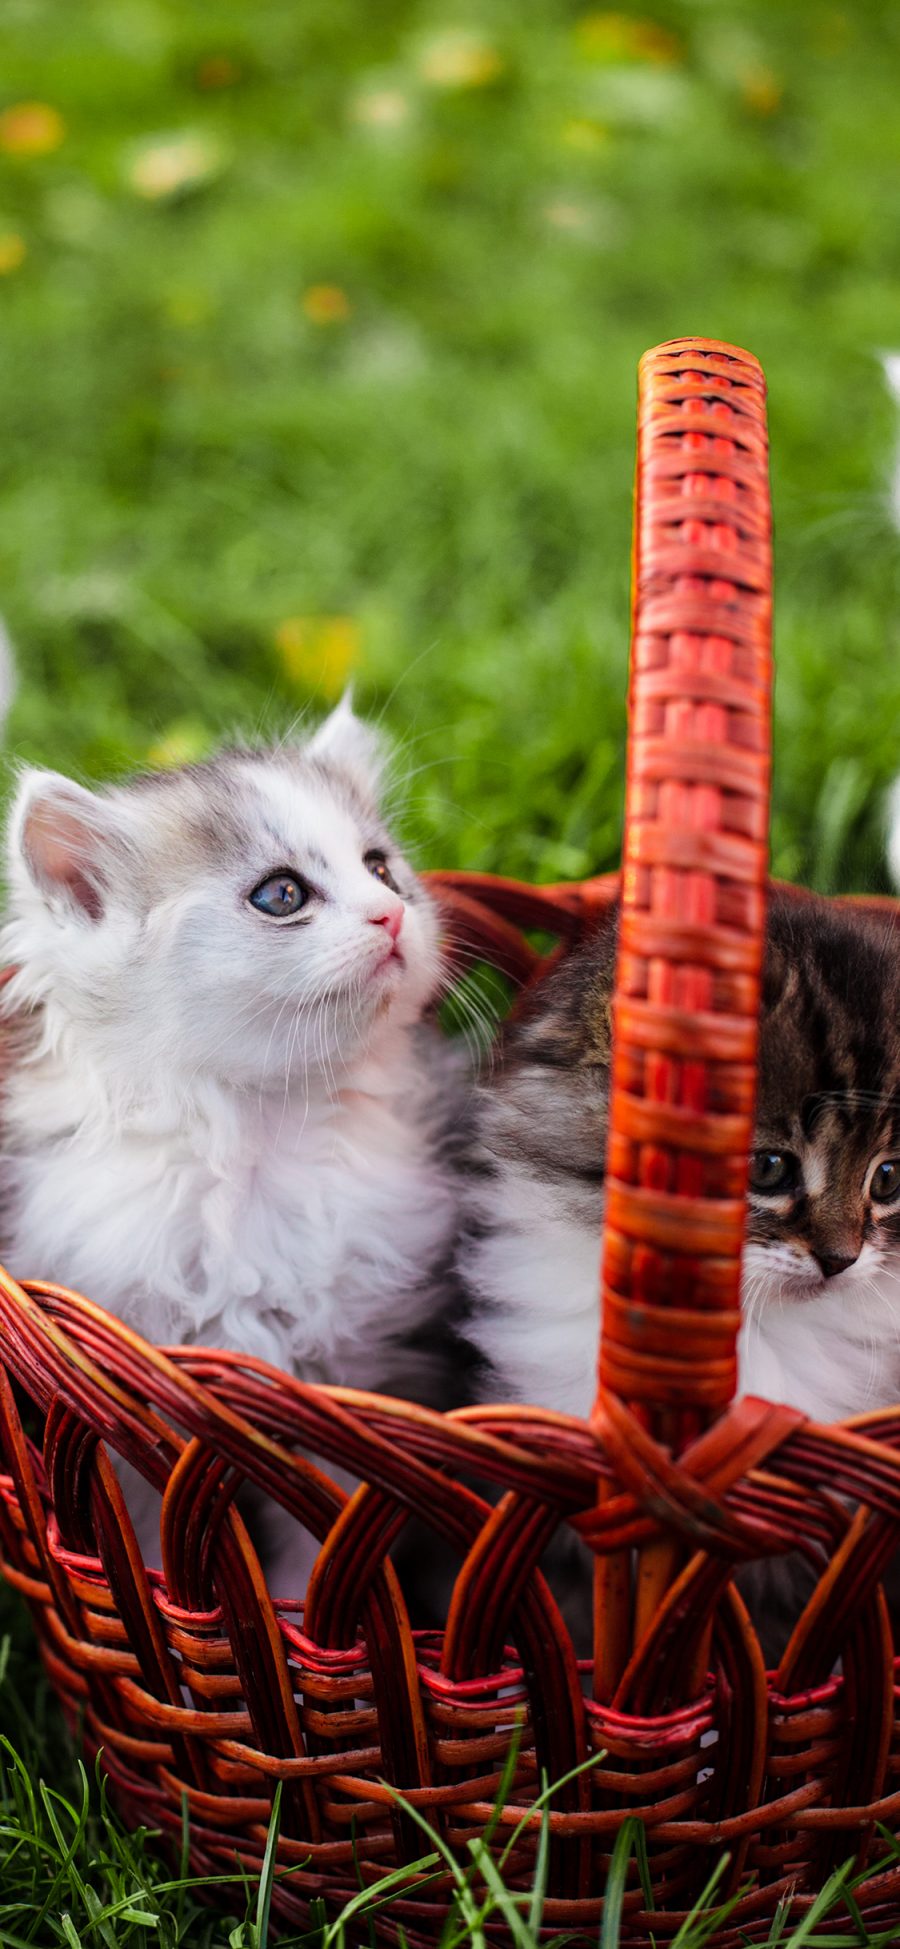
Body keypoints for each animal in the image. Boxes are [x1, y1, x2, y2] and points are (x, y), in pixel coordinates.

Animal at [0, 701, 459, 1582]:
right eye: (281, 894)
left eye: (381, 869)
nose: (393, 915)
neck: (259, 1137)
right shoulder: (131, 1401)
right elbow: (144, 1537)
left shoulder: (348, 1373)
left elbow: (325, 1534)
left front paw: (298, 1613)